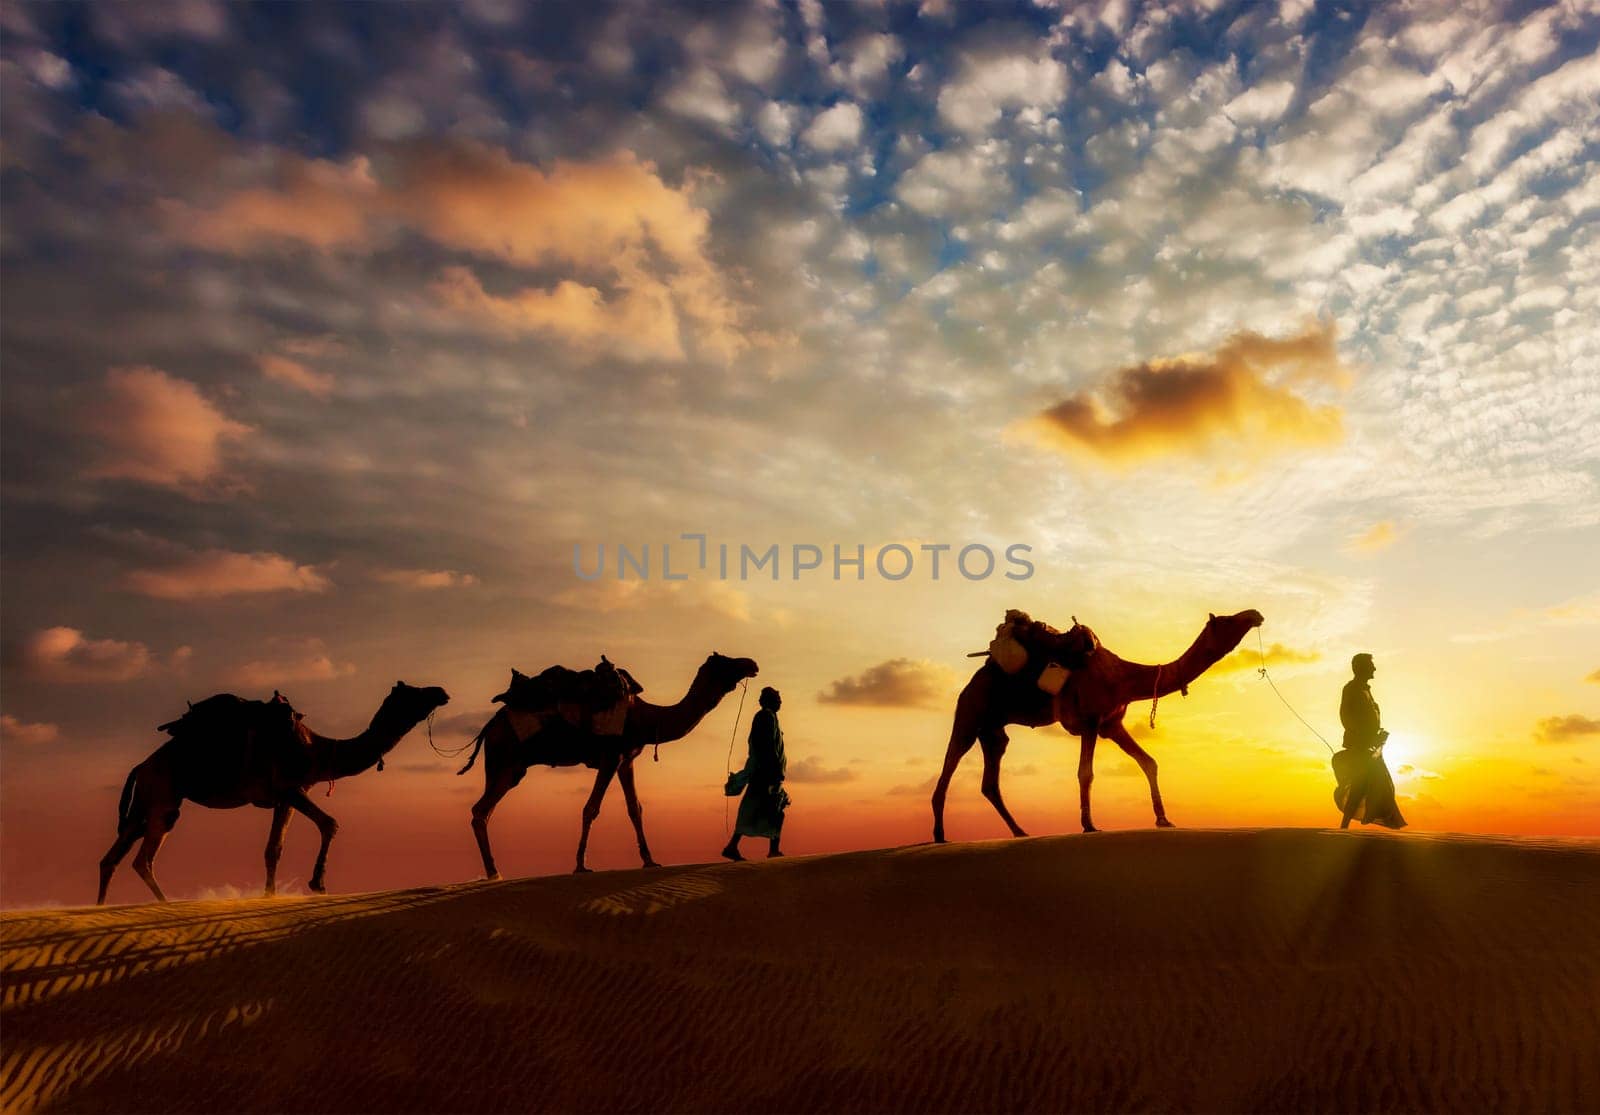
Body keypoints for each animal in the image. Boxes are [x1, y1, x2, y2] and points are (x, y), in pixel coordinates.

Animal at [97, 678, 451, 902]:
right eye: (414, 693)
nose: (441, 691)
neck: (319, 751)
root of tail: (141, 766)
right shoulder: (290, 787)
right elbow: (330, 823)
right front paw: (317, 883)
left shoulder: (285, 798)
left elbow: (273, 849)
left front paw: (271, 896)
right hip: (163, 797)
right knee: (141, 859)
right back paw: (166, 904)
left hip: (144, 803)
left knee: (112, 857)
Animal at [460, 652, 758, 876]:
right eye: (726, 662)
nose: (751, 663)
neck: (645, 718)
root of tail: (490, 726)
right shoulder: (610, 756)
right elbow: (591, 808)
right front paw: (581, 865)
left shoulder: (626, 759)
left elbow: (635, 808)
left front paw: (650, 860)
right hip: (507, 761)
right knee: (480, 810)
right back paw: (493, 872)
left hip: (507, 768)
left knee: (483, 811)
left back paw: (493, 871)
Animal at [928, 614, 1260, 838]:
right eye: (1228, 620)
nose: (1255, 614)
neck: (1123, 677)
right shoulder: (1089, 720)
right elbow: (1085, 773)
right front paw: (1089, 825)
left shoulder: (1111, 725)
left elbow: (1148, 762)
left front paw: (1163, 819)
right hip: (970, 713)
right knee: (951, 762)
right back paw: (940, 836)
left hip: (993, 730)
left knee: (990, 780)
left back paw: (1020, 831)